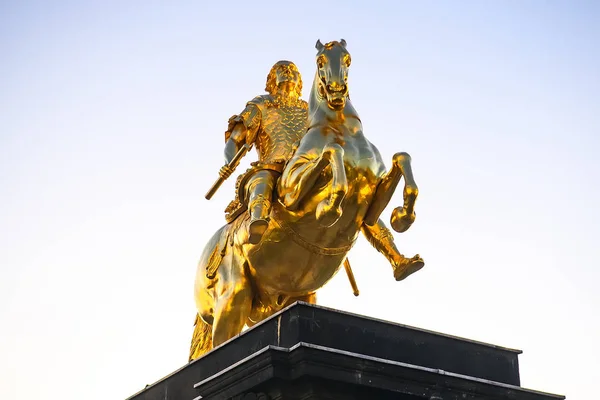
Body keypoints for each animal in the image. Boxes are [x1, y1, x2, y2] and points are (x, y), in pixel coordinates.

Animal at [190, 39, 424, 360]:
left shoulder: (373, 199)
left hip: (291, 297)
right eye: (320, 60)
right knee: (221, 341)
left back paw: (406, 263)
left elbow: (402, 160)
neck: (342, 131)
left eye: (348, 59)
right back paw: (258, 225)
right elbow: (330, 153)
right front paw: (330, 207)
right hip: (232, 298)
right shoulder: (293, 192)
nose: (337, 91)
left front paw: (403, 216)